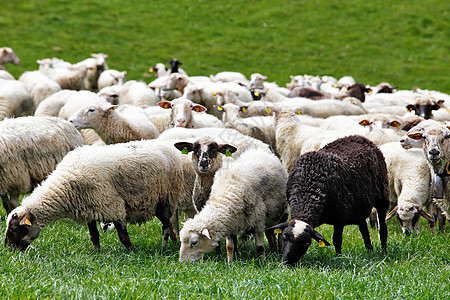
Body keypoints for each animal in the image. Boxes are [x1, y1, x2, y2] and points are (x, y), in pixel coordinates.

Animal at [3, 140, 183, 251]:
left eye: (14, 228)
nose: (9, 251)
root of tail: (170, 149)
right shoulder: (89, 208)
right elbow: (94, 236)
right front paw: (97, 252)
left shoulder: (113, 206)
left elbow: (123, 237)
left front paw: (133, 252)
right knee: (170, 224)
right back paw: (173, 242)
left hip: (165, 199)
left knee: (166, 225)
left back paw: (164, 247)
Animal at [268, 135, 390, 266]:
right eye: (284, 237)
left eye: (306, 243)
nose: (287, 263)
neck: (307, 191)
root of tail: (359, 137)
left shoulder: (340, 217)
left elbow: (337, 240)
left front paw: (339, 258)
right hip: (360, 206)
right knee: (364, 229)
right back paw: (369, 251)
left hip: (382, 196)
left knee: (383, 228)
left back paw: (383, 252)